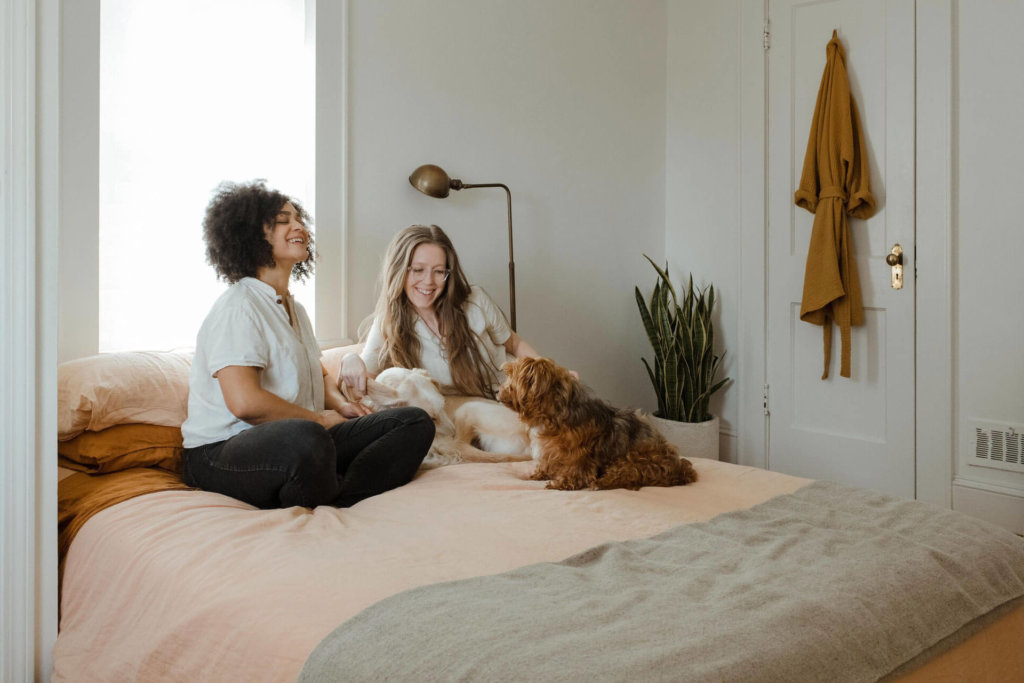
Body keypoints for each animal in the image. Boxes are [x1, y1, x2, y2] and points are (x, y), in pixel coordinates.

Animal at [495, 358, 696, 491]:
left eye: (512, 376)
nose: (496, 390)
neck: (554, 414)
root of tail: (680, 469)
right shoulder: (551, 450)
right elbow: (548, 463)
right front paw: (539, 474)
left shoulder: (579, 453)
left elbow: (576, 468)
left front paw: (563, 483)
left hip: (635, 459)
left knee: (627, 475)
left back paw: (601, 482)